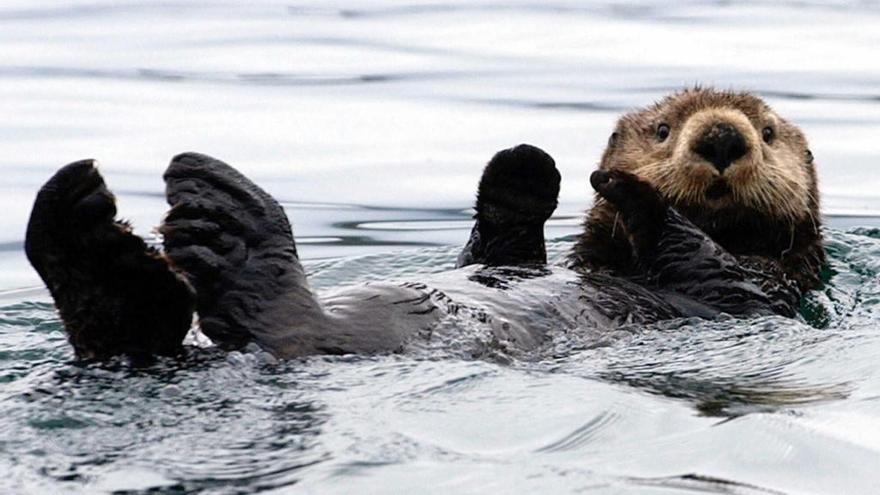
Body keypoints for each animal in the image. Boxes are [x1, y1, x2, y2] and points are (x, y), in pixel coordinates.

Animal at [25, 87, 824, 362]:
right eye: (662, 129)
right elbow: (500, 245)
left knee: (281, 324)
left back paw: (220, 224)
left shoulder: (760, 291)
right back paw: (86, 235)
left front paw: (625, 189)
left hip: (308, 331)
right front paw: (523, 170)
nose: (720, 137)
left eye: (767, 133)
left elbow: (706, 261)